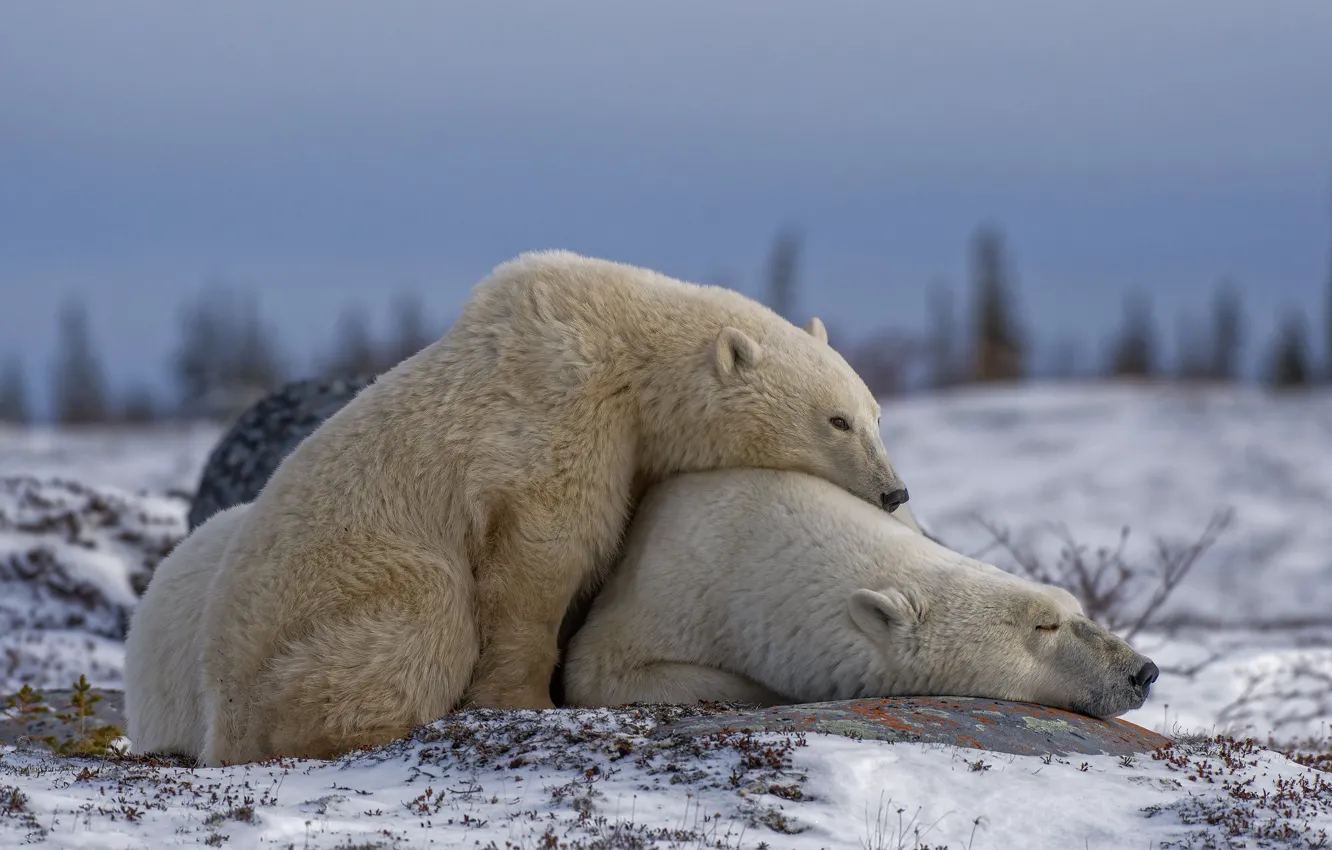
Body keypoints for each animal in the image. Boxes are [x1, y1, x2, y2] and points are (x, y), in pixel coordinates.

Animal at [191, 249, 910, 765]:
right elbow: (543, 554)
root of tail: (219, 709)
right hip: (340, 595)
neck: (627, 347)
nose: (894, 490)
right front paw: (525, 699)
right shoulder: (559, 413)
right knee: (423, 612)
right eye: (837, 420)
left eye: (877, 414)